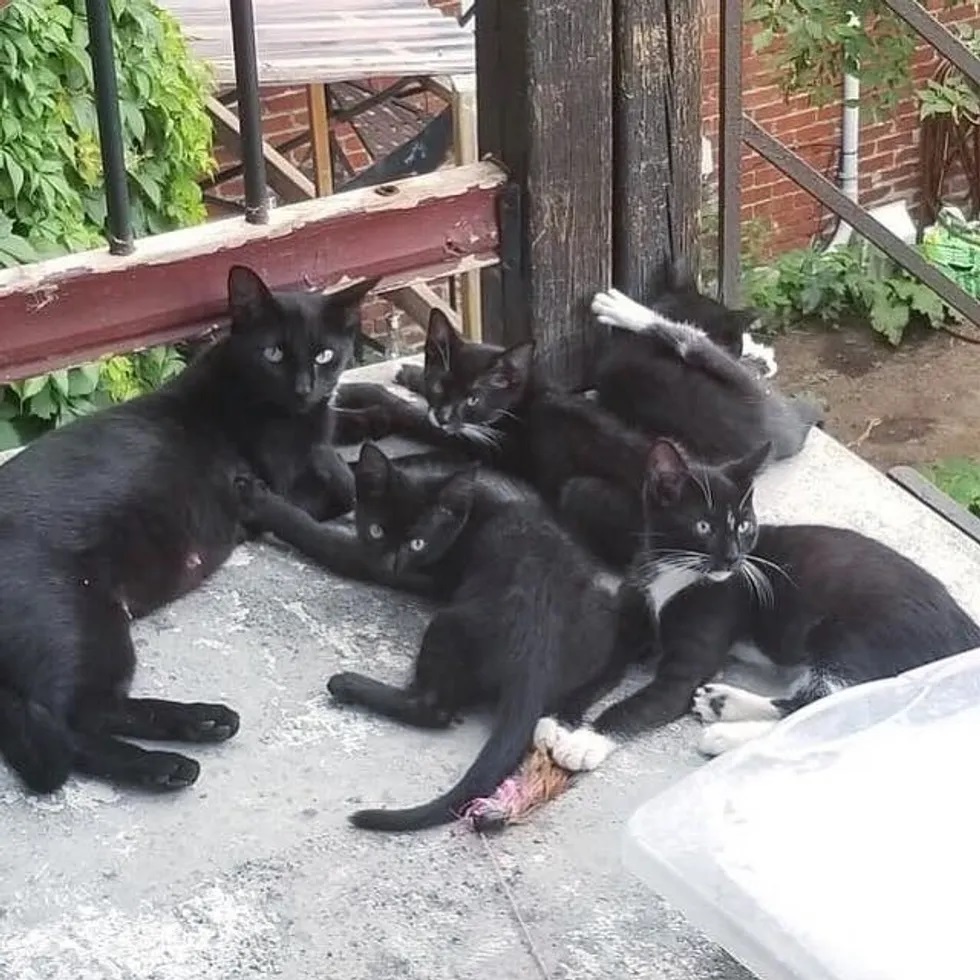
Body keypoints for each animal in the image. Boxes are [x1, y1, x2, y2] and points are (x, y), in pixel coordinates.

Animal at [0, 264, 374, 792]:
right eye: (274, 353)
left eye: (325, 355)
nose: (305, 389)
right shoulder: (281, 484)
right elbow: (339, 486)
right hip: (86, 622)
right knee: (75, 722)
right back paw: (171, 758)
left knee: (90, 719)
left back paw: (198, 730)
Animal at [238, 448, 628, 832]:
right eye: (378, 530)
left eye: (417, 543)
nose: (392, 563)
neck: (469, 507)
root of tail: (536, 653)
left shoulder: (399, 567)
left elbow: (322, 538)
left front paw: (262, 501)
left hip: (446, 625)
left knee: (432, 708)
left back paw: (348, 684)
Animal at [536, 438, 980, 772]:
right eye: (704, 526)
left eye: (745, 526)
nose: (734, 558)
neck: (673, 574)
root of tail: (965, 626)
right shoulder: (632, 626)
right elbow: (599, 670)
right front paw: (555, 722)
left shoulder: (693, 656)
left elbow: (640, 703)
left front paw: (587, 741)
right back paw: (720, 702)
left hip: (854, 635)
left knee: (825, 706)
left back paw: (723, 731)